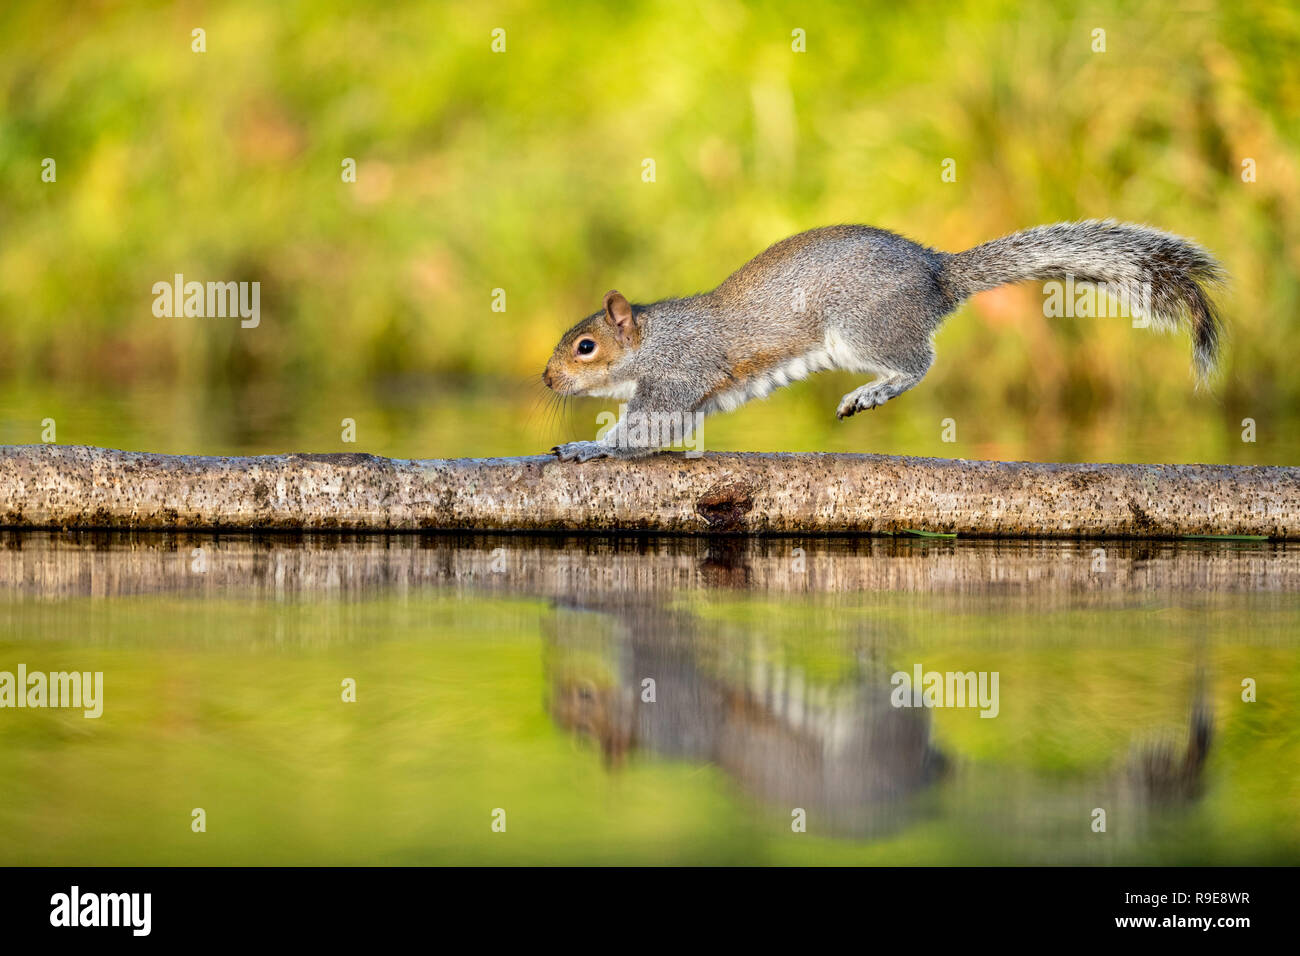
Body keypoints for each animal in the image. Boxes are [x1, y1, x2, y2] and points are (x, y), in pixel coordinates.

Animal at [542, 220, 1224, 461]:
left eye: (585, 347)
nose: (546, 380)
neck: (651, 341)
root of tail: (936, 274)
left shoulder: (677, 373)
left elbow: (644, 427)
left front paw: (587, 448)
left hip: (862, 329)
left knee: (918, 362)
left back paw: (871, 392)